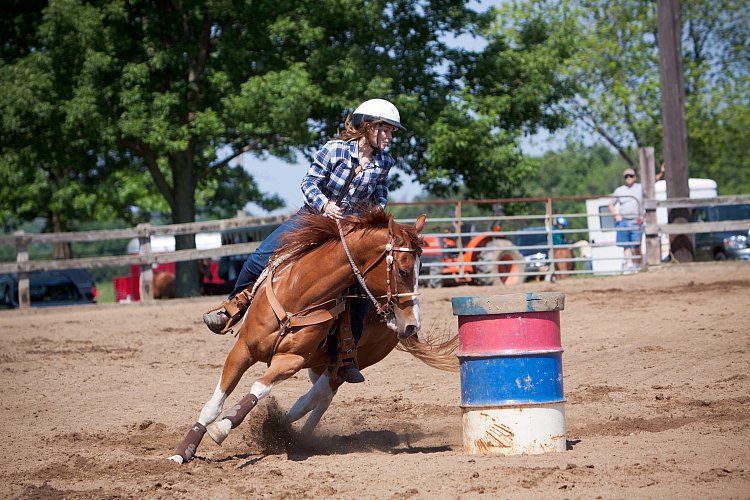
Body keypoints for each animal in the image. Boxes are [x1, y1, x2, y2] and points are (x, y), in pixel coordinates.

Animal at [170, 209, 440, 462]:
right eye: (403, 271)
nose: (412, 324)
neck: (298, 296)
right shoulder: (243, 349)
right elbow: (213, 406)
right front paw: (182, 452)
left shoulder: (291, 360)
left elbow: (259, 388)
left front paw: (223, 428)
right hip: (318, 365)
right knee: (321, 398)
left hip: (347, 364)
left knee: (317, 396)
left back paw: (286, 431)